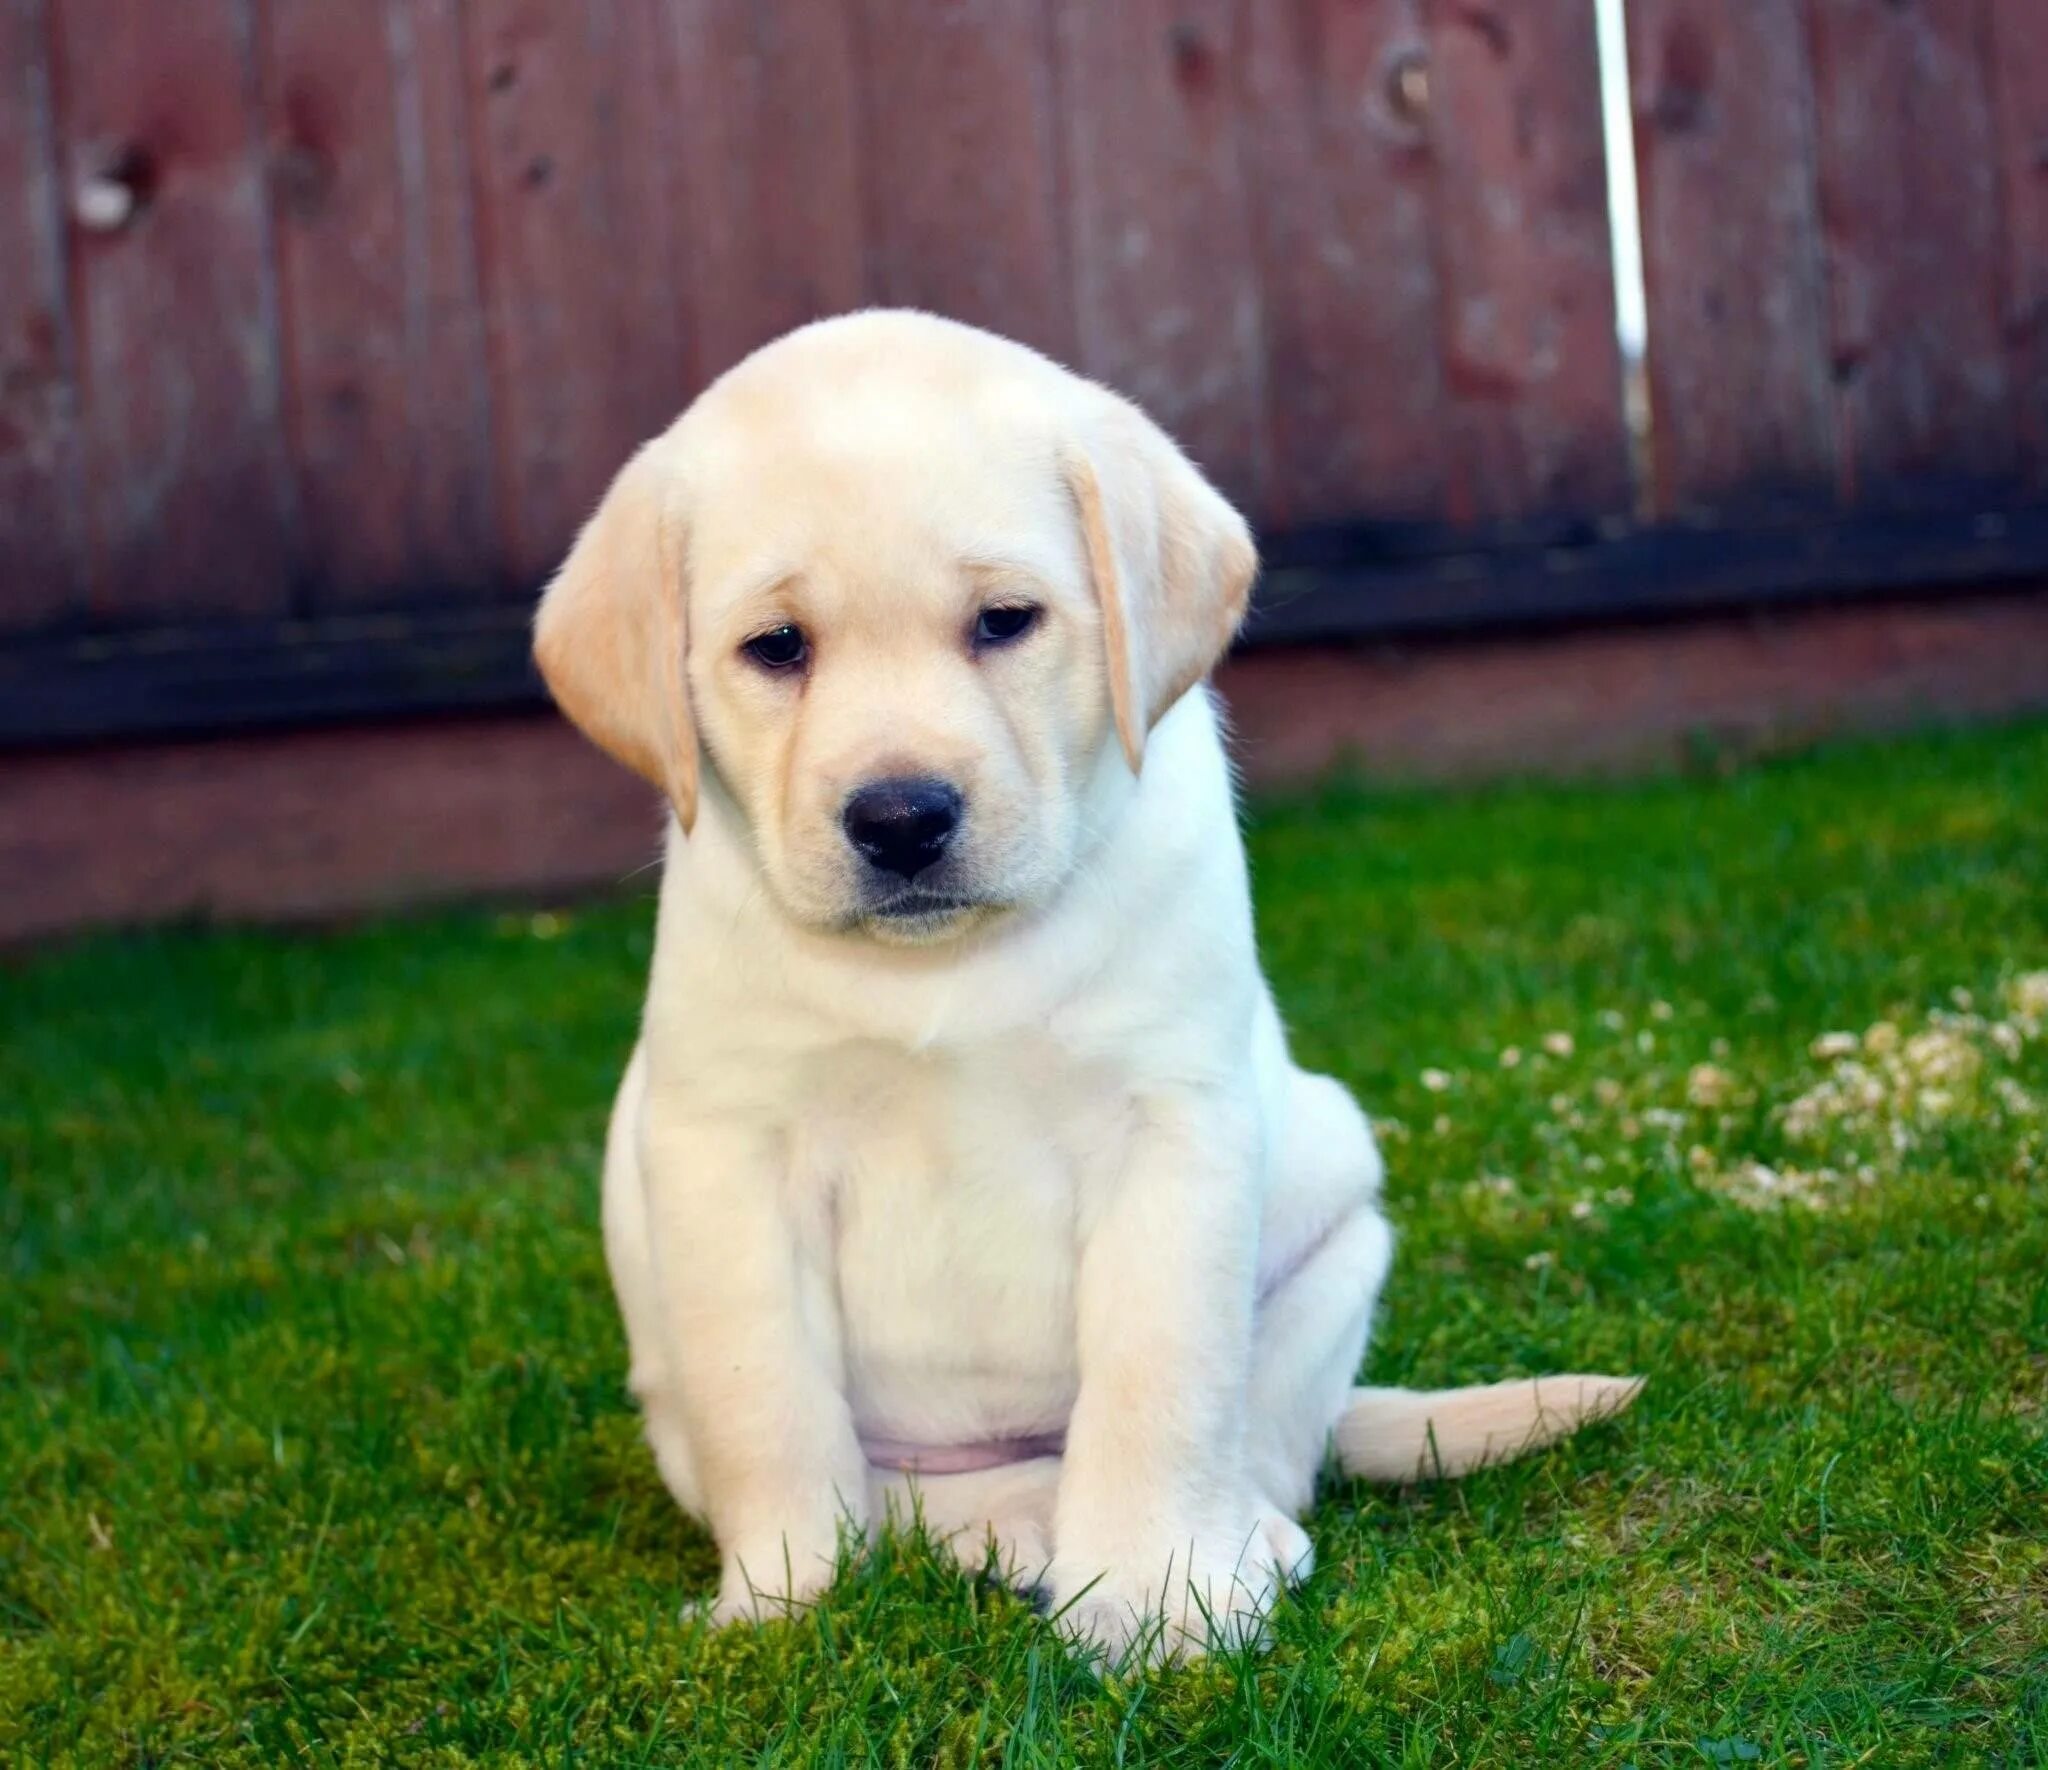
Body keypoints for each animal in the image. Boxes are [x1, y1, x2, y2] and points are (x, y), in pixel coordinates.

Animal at [536, 311, 1638, 1663]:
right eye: (776, 647)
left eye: (1005, 621)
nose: (900, 819)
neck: (947, 965)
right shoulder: (729, 1155)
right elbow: (772, 1406)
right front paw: (780, 1600)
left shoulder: (1171, 1127)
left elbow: (1155, 1381)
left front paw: (1150, 1594)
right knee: (913, 1496)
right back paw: (1003, 1527)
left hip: (1340, 1233)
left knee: (1264, 1447)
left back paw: (1228, 1539)